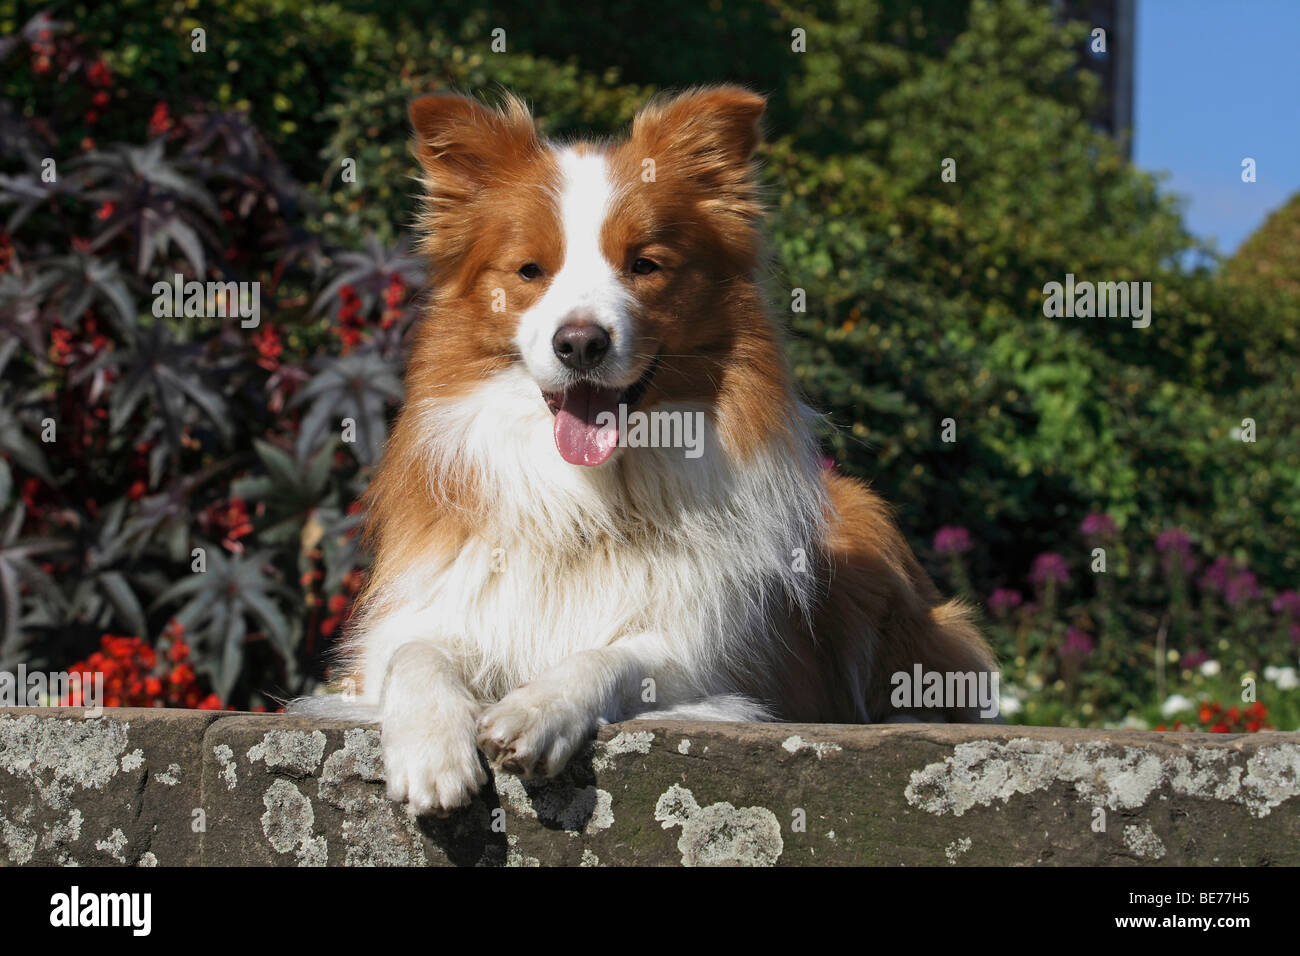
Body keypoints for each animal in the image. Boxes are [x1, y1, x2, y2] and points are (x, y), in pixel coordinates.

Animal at [301, 85, 993, 816]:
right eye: (530, 271)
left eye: (644, 265)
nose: (580, 343)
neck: (590, 494)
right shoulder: (423, 616)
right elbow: (416, 652)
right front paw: (431, 747)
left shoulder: (716, 654)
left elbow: (613, 655)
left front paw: (537, 707)